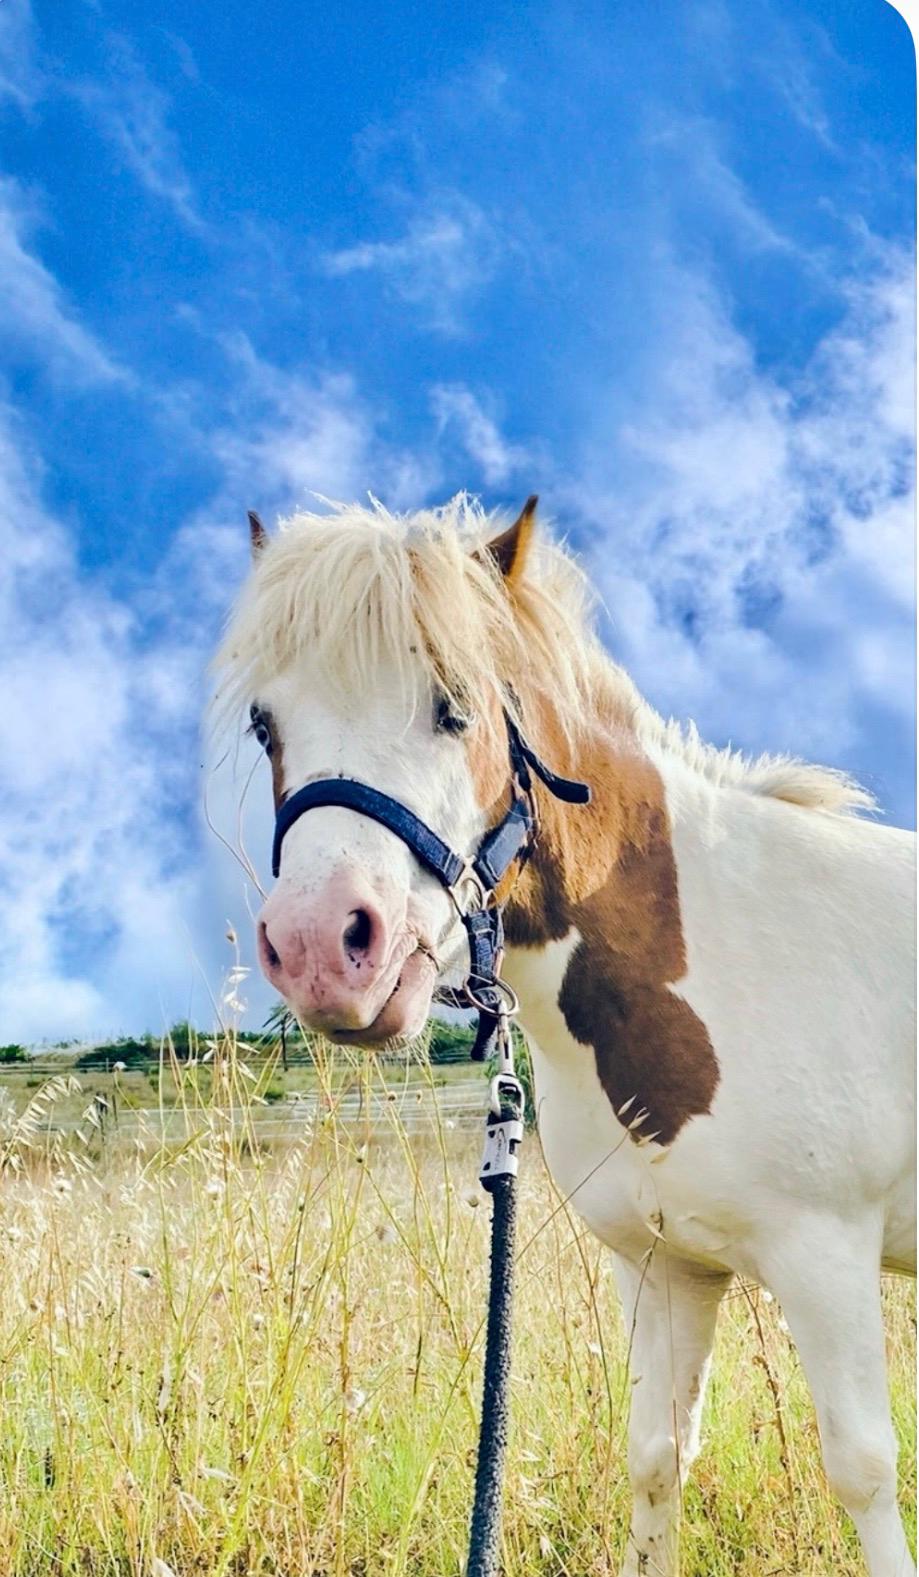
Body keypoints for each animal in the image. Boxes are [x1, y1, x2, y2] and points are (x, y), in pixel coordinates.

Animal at [216, 494, 916, 1576]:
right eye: (264, 723)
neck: (707, 953)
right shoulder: (663, 1266)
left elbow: (862, 1470)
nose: (325, 950)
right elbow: (657, 1459)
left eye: (455, 705)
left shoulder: (825, 1255)